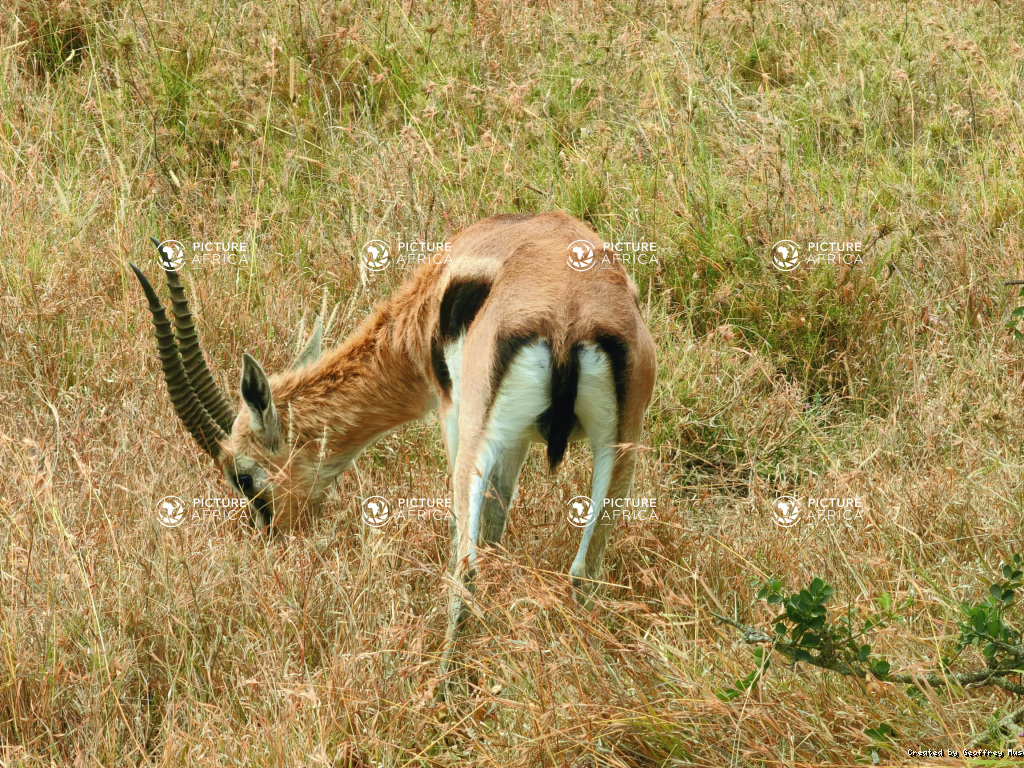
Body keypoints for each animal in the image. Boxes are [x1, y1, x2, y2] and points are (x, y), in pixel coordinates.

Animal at [131, 211, 657, 688]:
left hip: (481, 444)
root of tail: (571, 314)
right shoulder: (516, 443)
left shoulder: (456, 419)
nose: (275, 540)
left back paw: (444, 693)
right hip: (619, 450)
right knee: (584, 571)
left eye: (243, 477)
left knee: (466, 572)